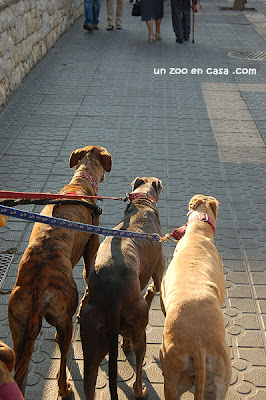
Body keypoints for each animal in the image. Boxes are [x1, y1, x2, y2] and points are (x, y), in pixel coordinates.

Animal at [7, 145, 111, 396]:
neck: (80, 182)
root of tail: (38, 283)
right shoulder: (91, 246)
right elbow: (88, 276)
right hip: (64, 319)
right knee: (63, 359)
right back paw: (64, 388)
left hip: (19, 326)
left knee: (21, 374)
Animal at [80, 177, 165, 398]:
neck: (142, 204)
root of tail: (112, 297)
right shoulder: (159, 269)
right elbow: (157, 288)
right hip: (140, 330)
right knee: (138, 370)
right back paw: (140, 390)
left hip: (91, 340)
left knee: (89, 379)